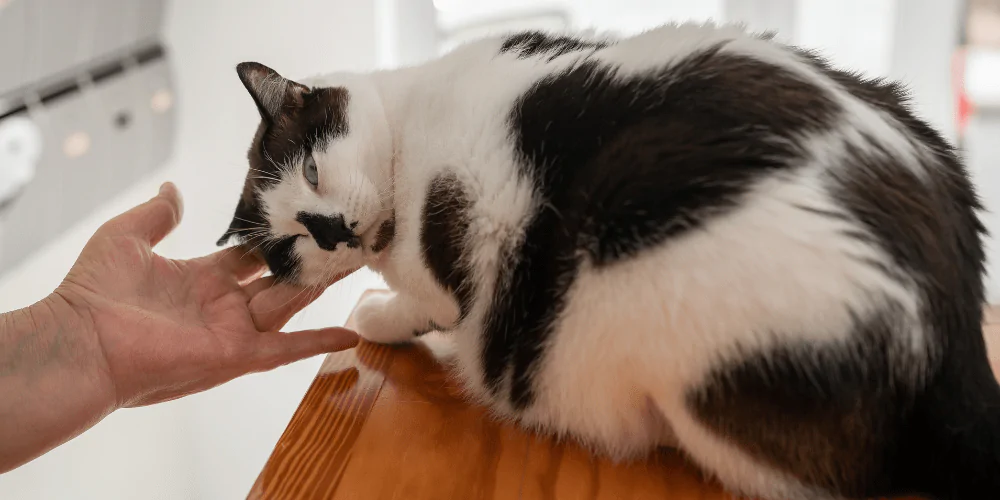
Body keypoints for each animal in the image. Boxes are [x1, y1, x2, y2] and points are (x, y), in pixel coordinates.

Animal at [217, 21, 992, 498]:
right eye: (287, 245)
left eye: (312, 171)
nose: (329, 229)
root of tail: (955, 323)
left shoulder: (441, 275)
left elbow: (407, 310)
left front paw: (378, 317)